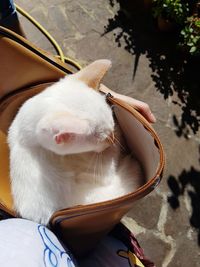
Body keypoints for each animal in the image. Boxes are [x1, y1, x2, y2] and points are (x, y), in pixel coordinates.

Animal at [7, 59, 142, 225]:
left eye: (111, 124)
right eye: (102, 139)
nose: (112, 139)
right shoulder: (100, 174)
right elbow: (112, 161)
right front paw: (118, 145)